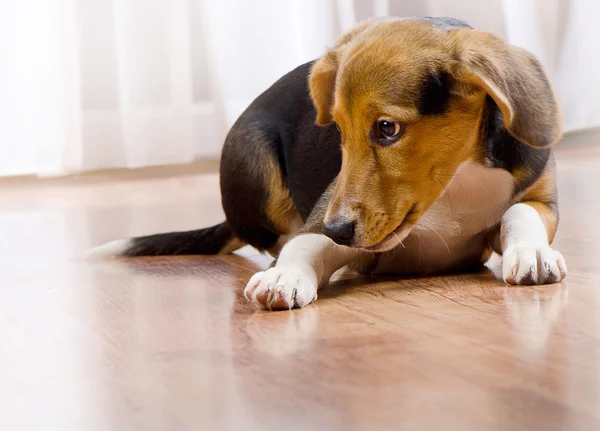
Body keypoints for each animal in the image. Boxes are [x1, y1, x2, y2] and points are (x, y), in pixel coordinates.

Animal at [90, 17, 568, 310]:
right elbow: (307, 243)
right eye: (338, 129)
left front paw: (531, 252)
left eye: (388, 129)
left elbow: (519, 213)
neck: (454, 184)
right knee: (274, 236)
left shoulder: (541, 199)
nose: (338, 230)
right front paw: (283, 278)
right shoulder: (326, 217)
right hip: (252, 154)